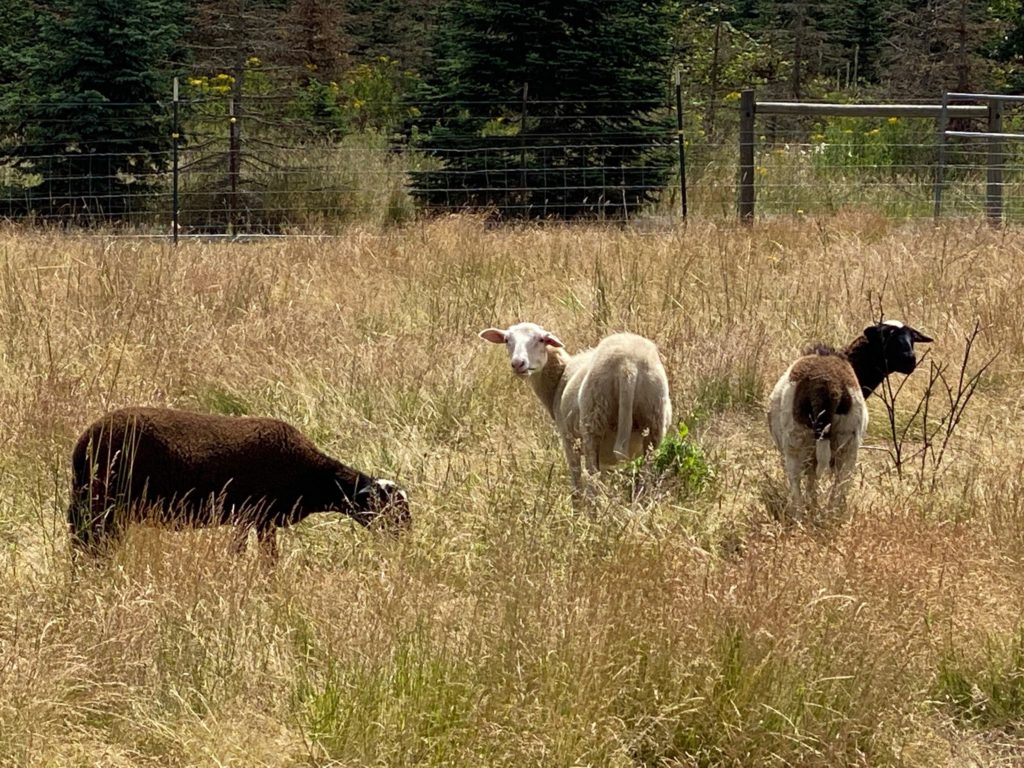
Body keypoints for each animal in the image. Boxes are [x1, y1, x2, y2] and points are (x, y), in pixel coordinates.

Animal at [479, 321, 671, 495]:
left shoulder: (569, 440)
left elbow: (576, 485)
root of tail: (627, 366)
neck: (559, 379)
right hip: (654, 422)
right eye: (506, 340)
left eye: (541, 339)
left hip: (593, 423)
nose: (518, 363)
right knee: (645, 481)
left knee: (593, 485)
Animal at [770, 321, 933, 514]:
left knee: (805, 485)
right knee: (835, 483)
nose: (910, 360)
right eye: (886, 336)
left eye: (912, 338)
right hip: (842, 442)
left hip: (807, 441)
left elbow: (811, 483)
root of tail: (825, 387)